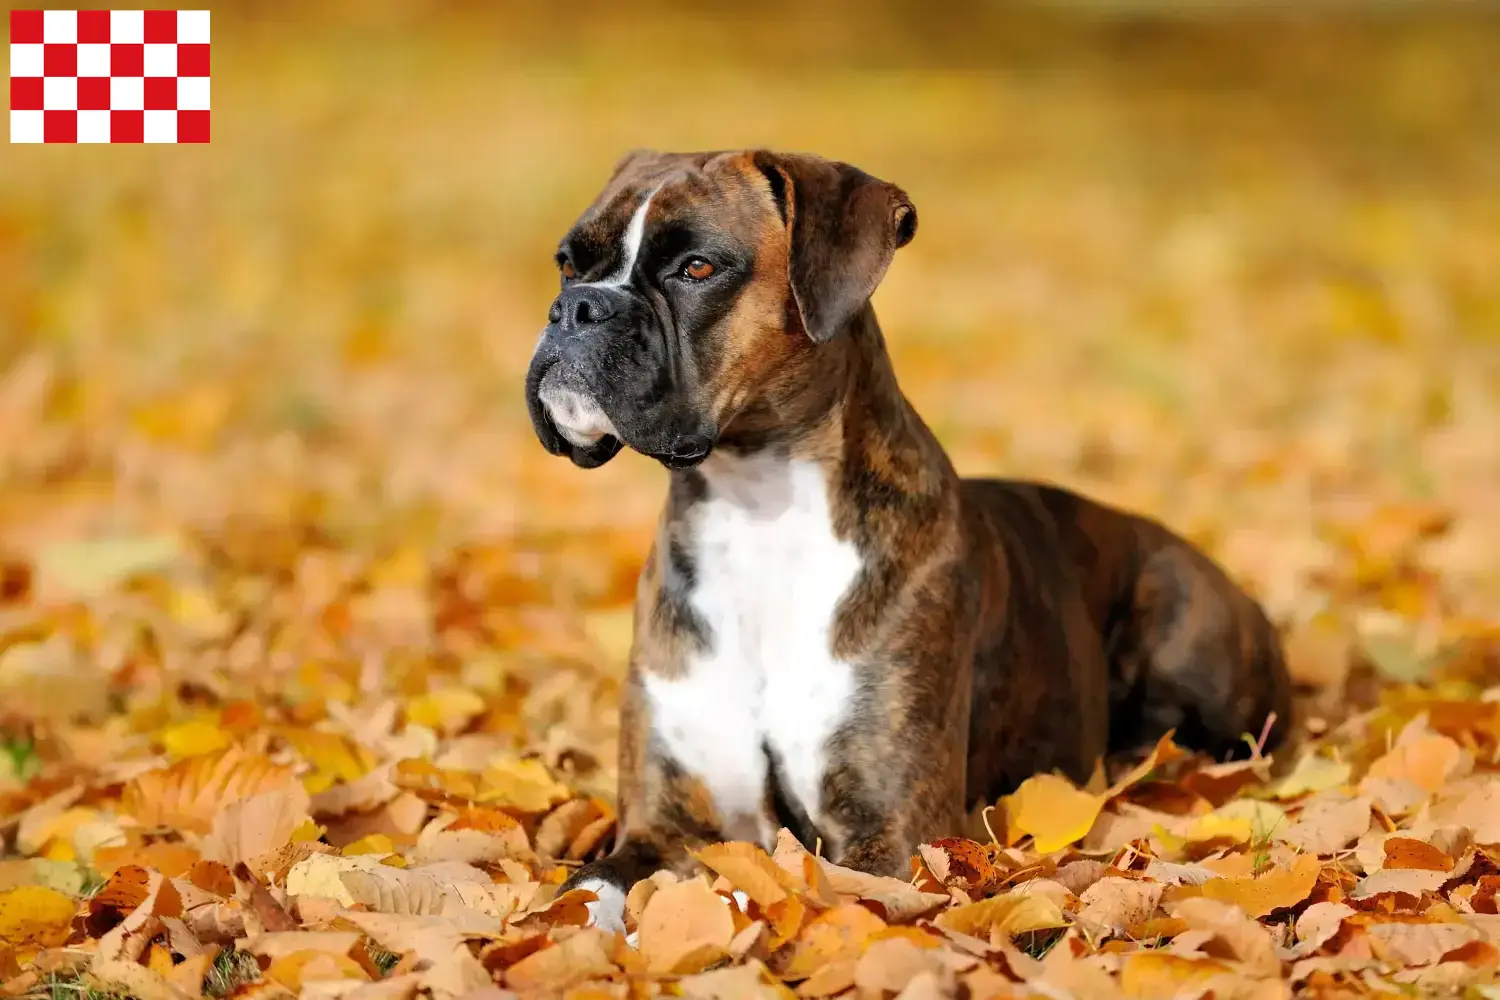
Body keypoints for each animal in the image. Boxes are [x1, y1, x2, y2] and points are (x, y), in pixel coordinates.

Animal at [525, 148, 1290, 929]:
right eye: (568, 263)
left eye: (697, 267)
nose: (577, 308)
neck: (755, 505)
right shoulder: (658, 828)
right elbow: (582, 897)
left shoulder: (894, 838)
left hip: (1182, 626)